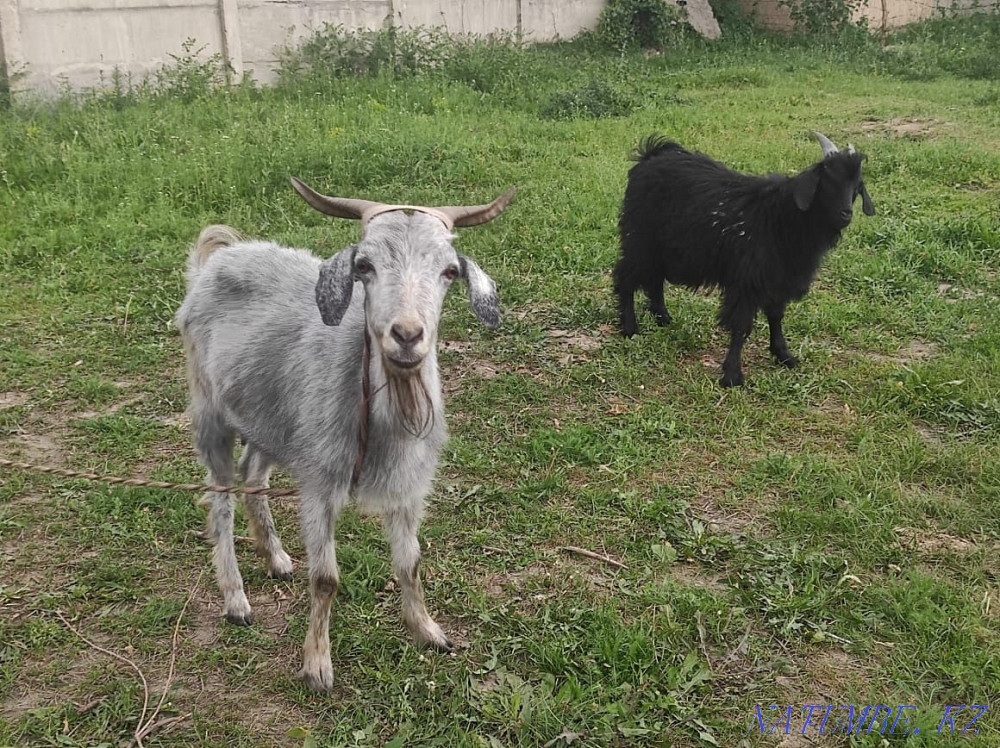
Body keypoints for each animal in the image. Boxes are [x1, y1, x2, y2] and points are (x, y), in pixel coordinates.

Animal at [175, 179, 515, 691]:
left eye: (449, 271)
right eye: (364, 266)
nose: (407, 334)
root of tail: (216, 260)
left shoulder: (408, 486)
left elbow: (410, 563)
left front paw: (428, 631)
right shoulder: (321, 482)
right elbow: (326, 579)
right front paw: (317, 664)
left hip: (272, 421)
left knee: (253, 474)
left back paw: (275, 557)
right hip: (210, 410)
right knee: (220, 499)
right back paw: (236, 600)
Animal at [614, 132, 875, 387]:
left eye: (857, 187)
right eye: (828, 180)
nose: (845, 214)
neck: (781, 216)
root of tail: (649, 156)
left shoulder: (779, 278)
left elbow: (776, 317)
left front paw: (784, 355)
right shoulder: (747, 281)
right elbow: (741, 326)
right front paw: (732, 375)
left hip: (662, 249)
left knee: (654, 279)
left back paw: (663, 317)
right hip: (639, 239)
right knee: (625, 278)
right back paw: (630, 328)